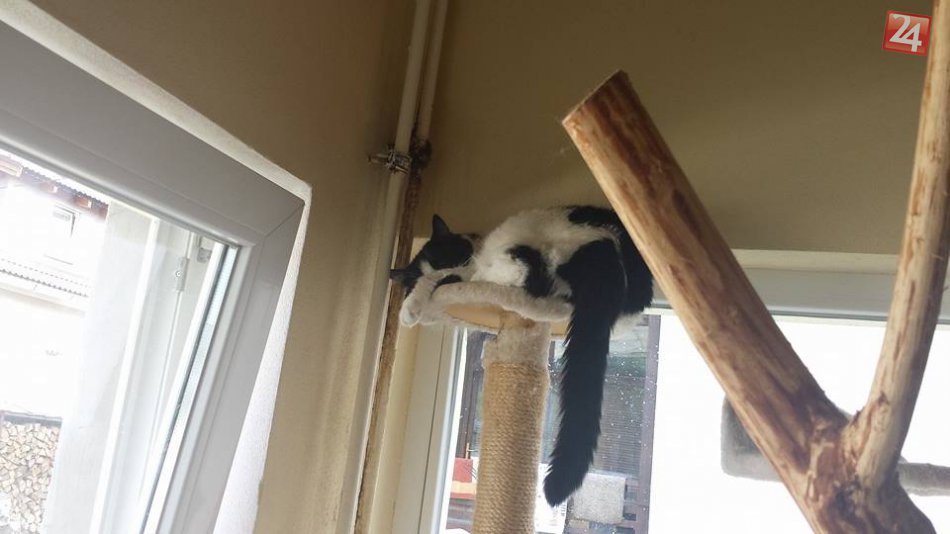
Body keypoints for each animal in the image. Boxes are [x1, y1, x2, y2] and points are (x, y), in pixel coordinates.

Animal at [389, 205, 654, 506]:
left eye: (447, 256)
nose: (451, 269)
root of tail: (604, 243)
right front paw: (415, 301)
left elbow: (435, 282)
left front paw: (412, 307)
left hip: (528, 251)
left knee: (532, 283)